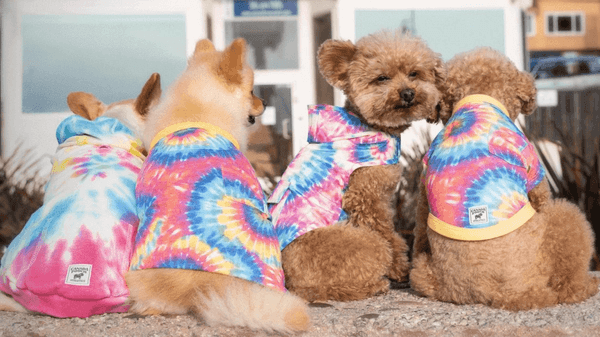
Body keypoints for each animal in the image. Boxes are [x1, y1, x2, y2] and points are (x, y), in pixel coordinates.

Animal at [268, 28, 446, 300]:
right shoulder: (366, 195)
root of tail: (288, 280)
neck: (368, 125)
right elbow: (386, 232)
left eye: (414, 73)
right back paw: (374, 285)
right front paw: (400, 268)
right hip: (359, 245)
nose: (407, 93)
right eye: (382, 78)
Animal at [410, 46, 596, 310]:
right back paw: (585, 286)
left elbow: (419, 222)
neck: (478, 98)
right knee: (567, 285)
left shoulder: (422, 184)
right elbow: (540, 196)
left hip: (424, 273)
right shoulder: (532, 163)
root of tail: (497, 294)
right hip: (563, 224)